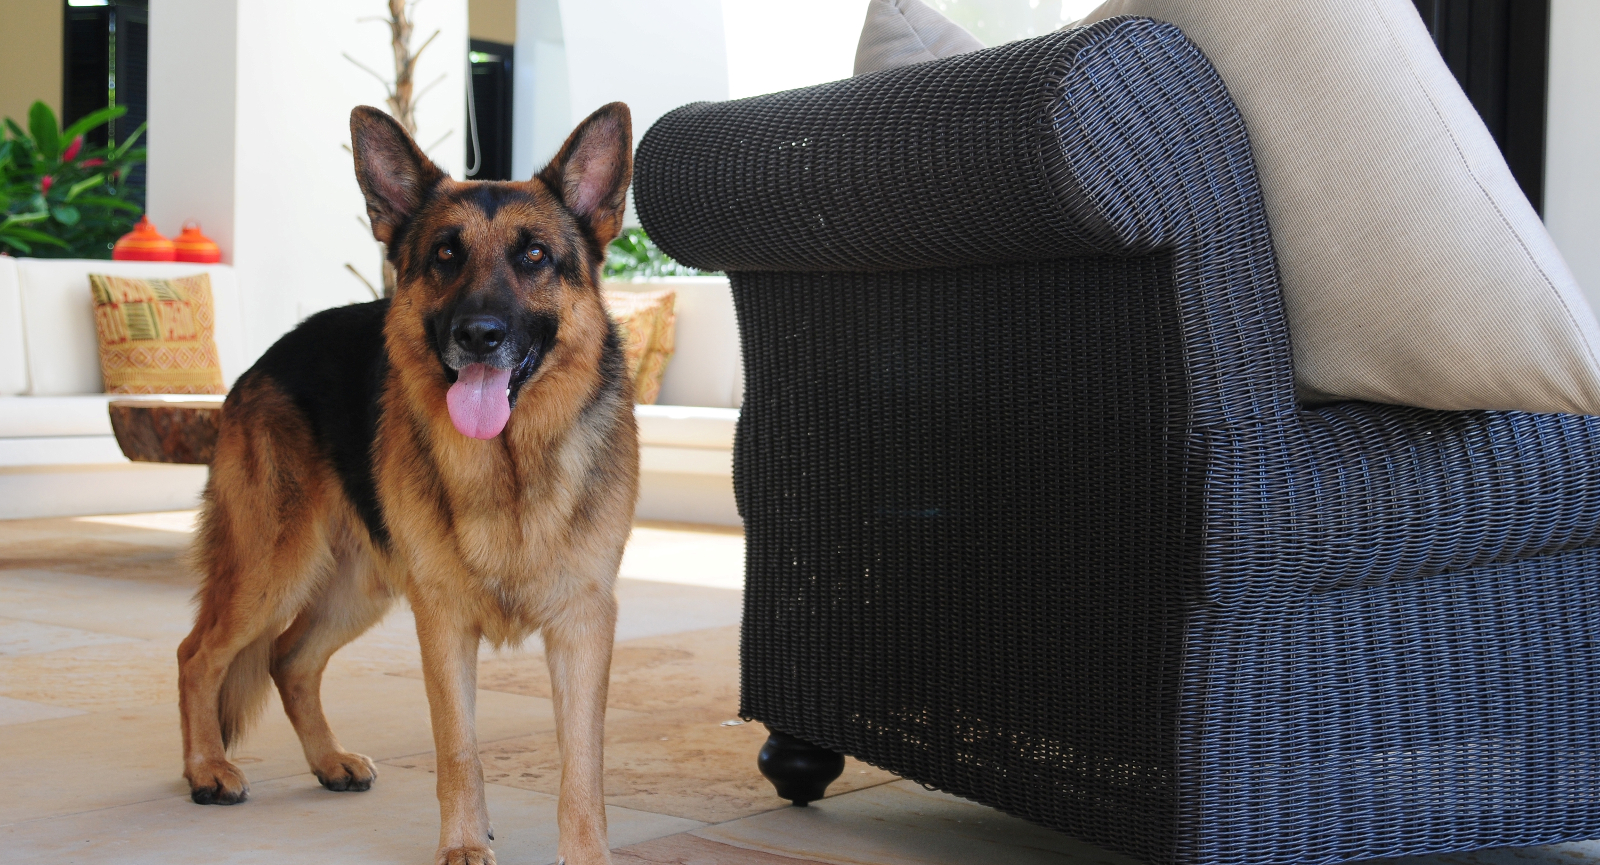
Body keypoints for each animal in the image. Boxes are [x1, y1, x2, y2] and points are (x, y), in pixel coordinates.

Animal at [176, 103, 636, 863]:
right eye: (445, 255)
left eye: (535, 256)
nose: (478, 334)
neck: (509, 467)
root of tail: (268, 356)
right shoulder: (442, 622)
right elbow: (459, 749)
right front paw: (464, 846)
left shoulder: (582, 626)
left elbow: (584, 767)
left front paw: (588, 853)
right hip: (275, 570)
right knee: (200, 654)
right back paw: (206, 768)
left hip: (359, 585)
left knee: (288, 659)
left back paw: (327, 760)